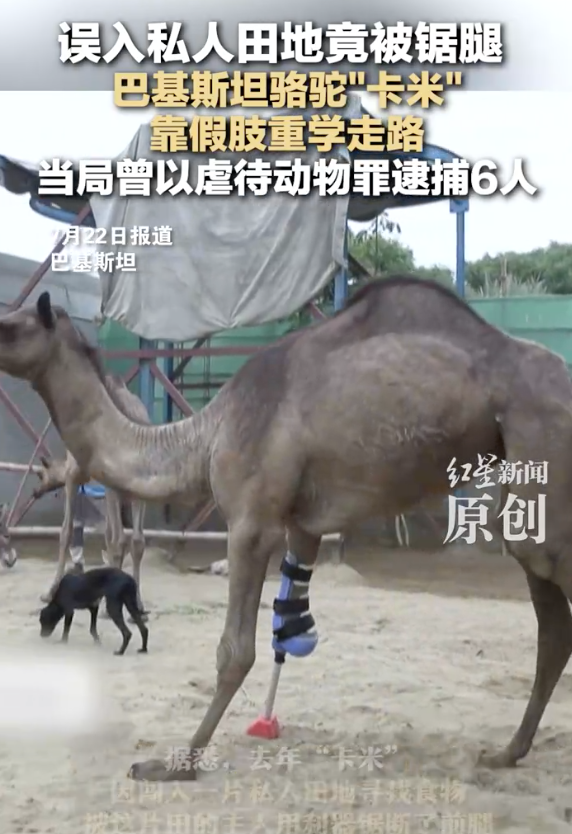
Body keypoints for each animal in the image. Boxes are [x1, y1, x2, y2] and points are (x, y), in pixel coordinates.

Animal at [32, 374, 150, 610]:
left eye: (41, 475)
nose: (34, 492)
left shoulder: (73, 476)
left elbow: (66, 531)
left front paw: (49, 593)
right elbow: (107, 534)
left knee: (121, 539)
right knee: (136, 540)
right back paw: (138, 602)